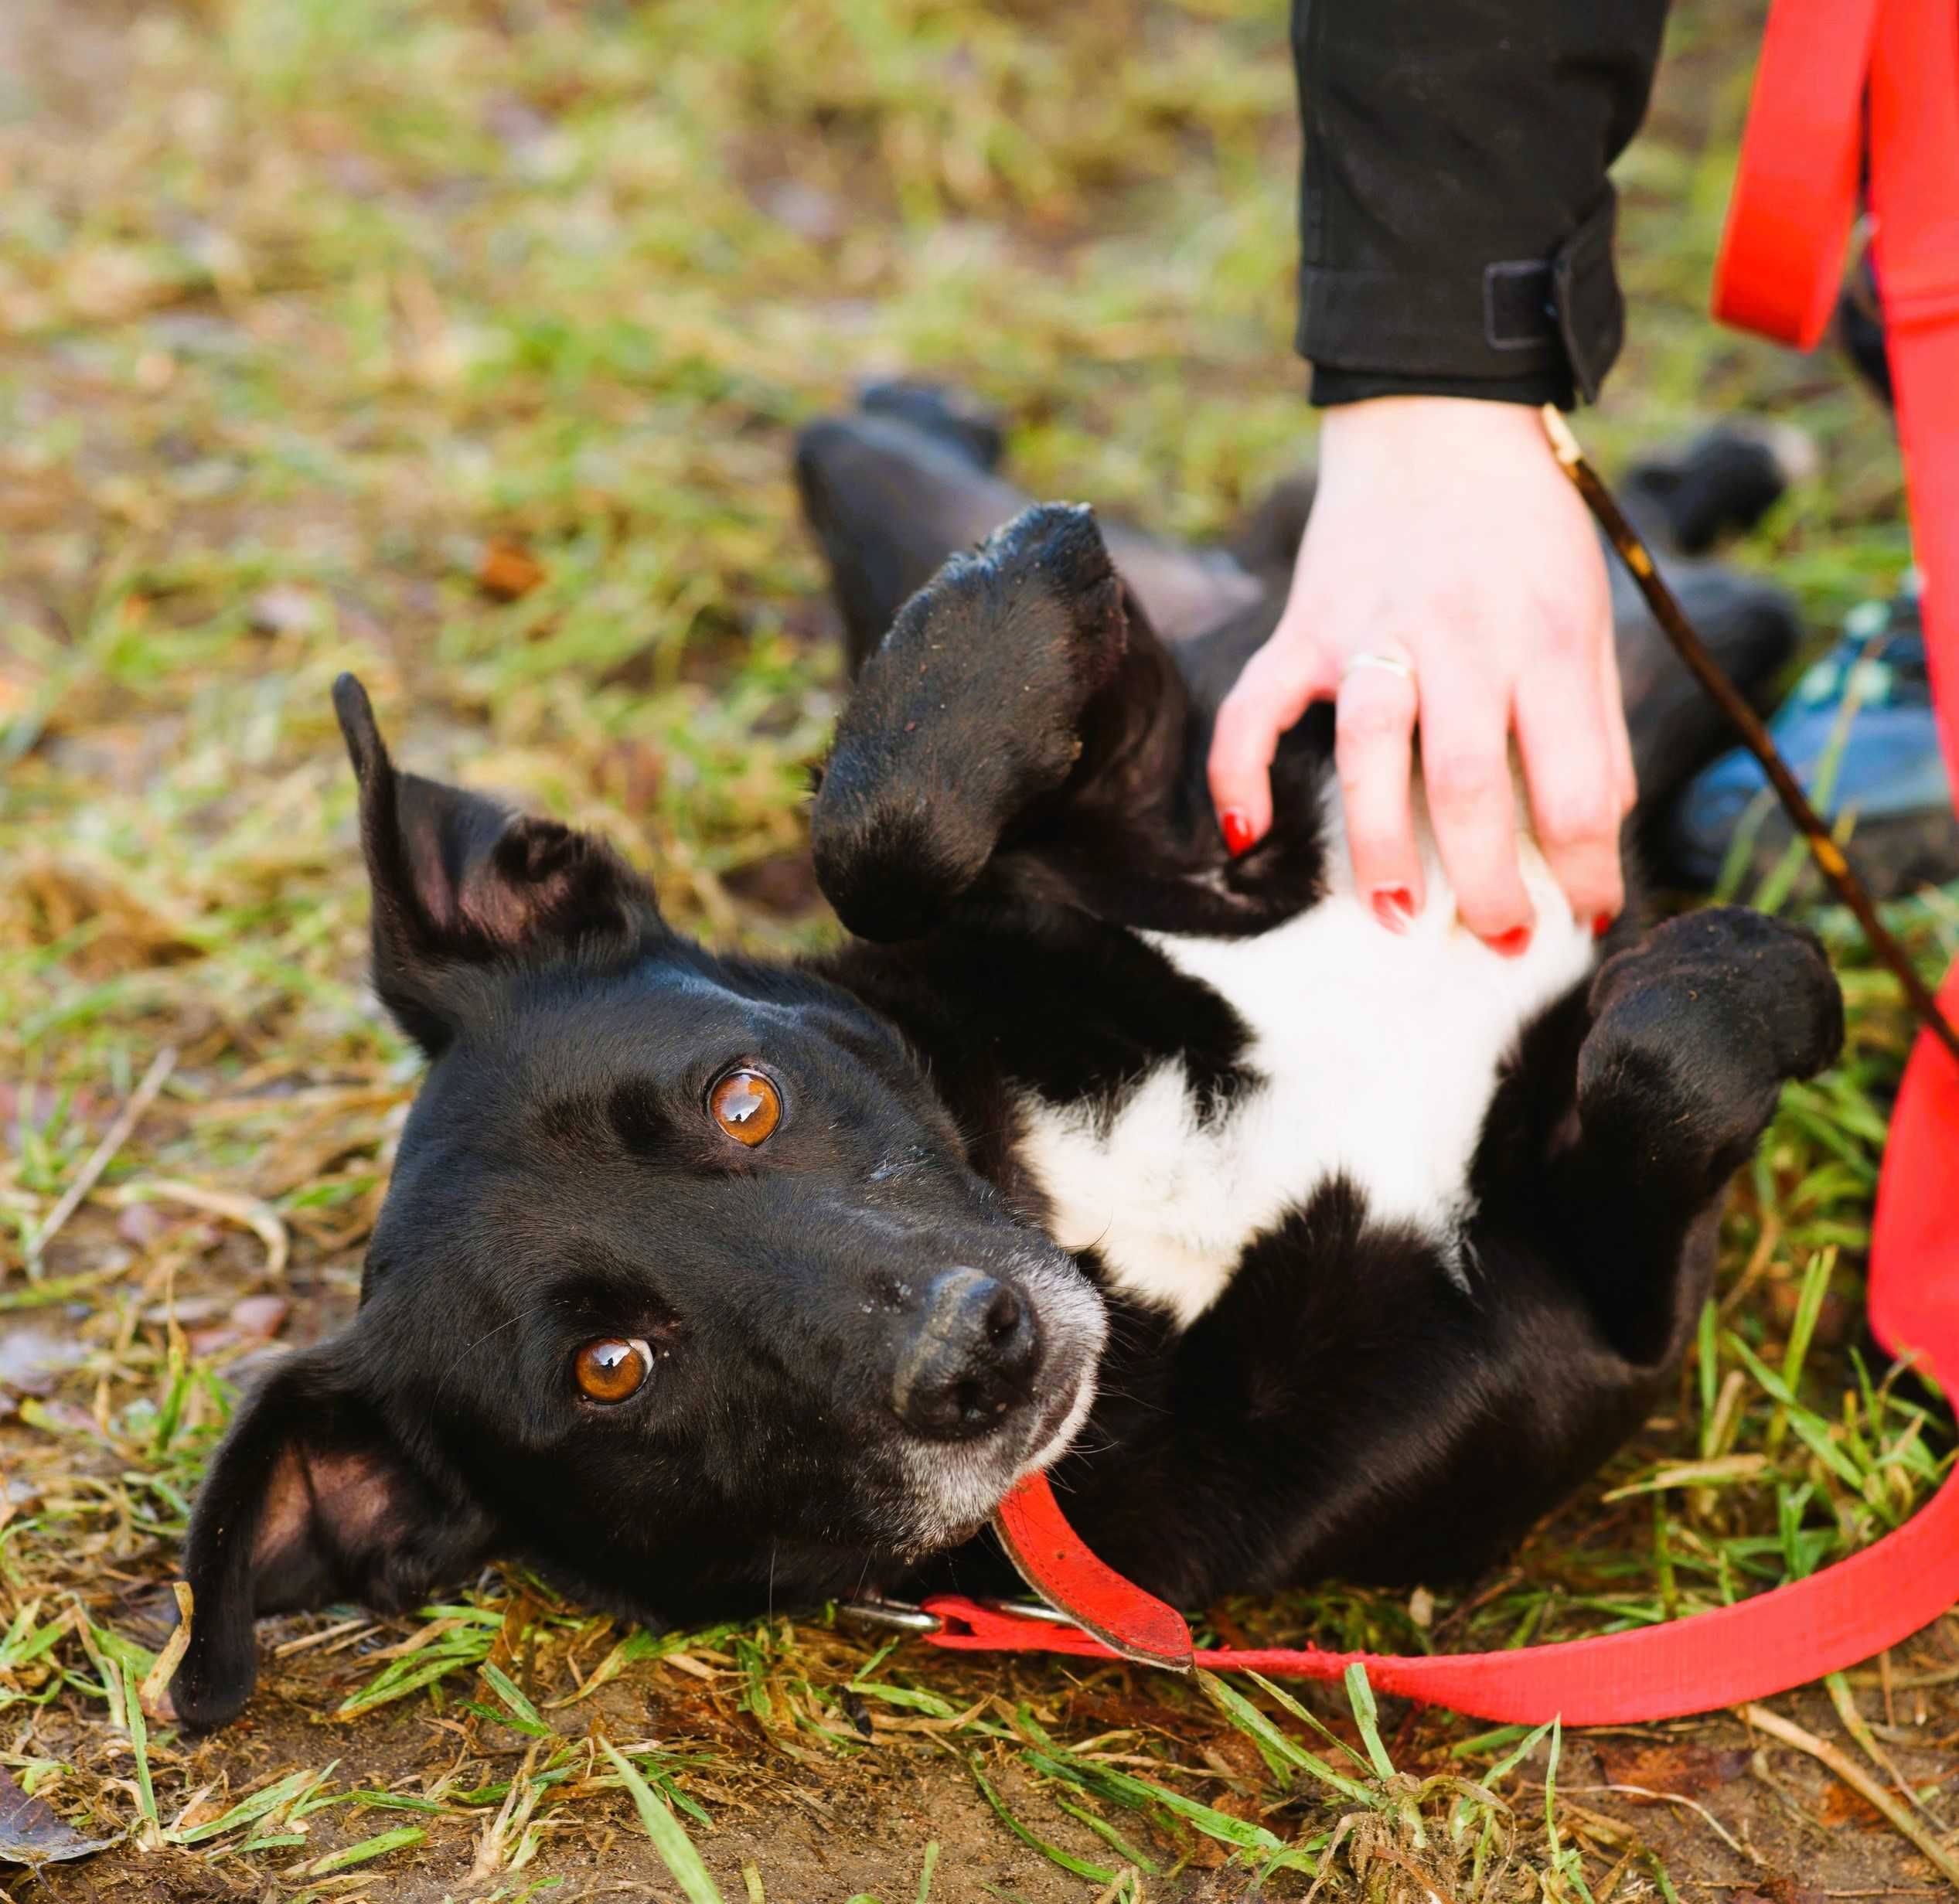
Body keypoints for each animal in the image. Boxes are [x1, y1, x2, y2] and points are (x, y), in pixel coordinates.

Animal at [164, 390, 1833, 1723]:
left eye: (744, 1095)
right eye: (610, 1368)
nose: (976, 1349)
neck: (1104, 1201)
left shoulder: (1208, 761)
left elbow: (885, 822)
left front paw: (1006, 589)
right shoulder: (1584, 1340)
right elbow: (1665, 1074)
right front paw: (1749, 980)